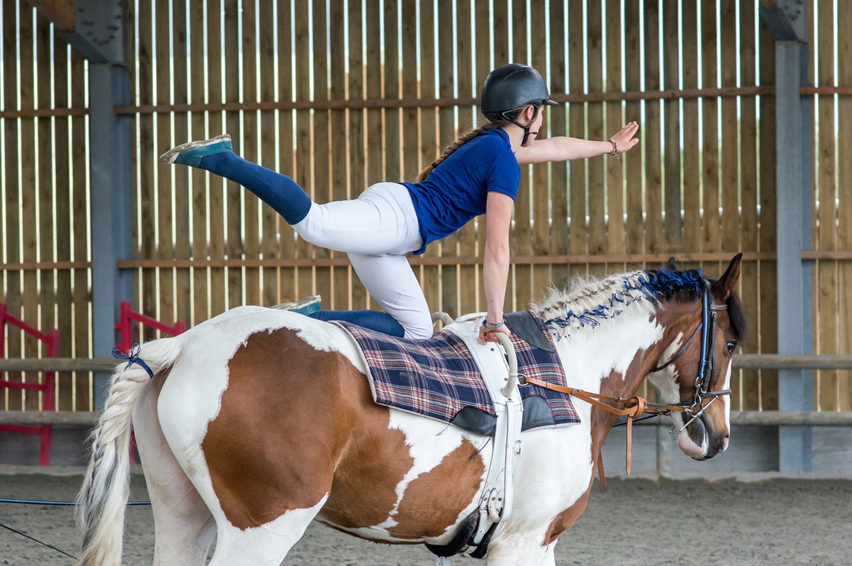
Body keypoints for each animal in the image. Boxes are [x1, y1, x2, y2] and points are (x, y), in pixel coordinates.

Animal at [78, 258, 744, 566]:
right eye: (734, 342)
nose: (715, 435)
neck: (563, 375)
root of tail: (186, 345)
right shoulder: (526, 542)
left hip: (181, 515)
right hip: (260, 530)